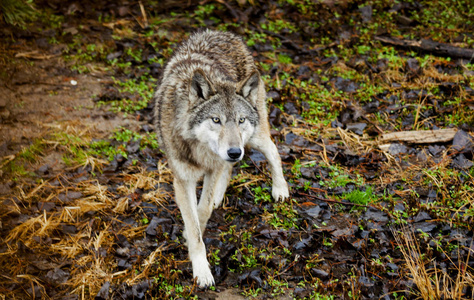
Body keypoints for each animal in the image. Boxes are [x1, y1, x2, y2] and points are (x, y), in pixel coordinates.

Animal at [154, 29, 290, 288]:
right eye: (216, 120)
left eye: (240, 120)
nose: (234, 151)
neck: (200, 150)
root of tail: (224, 33)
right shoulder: (183, 179)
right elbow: (195, 223)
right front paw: (201, 270)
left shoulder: (215, 164)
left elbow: (203, 210)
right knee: (230, 168)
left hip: (253, 139)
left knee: (272, 150)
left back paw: (280, 189)